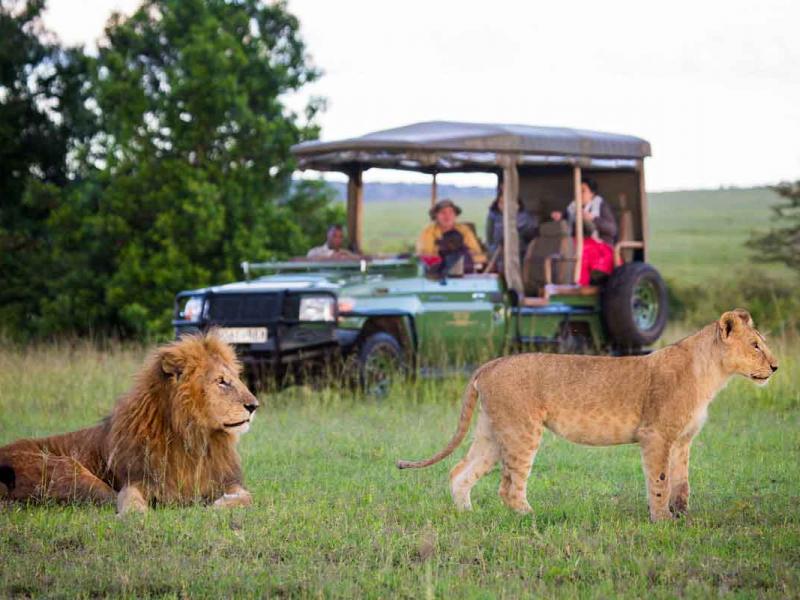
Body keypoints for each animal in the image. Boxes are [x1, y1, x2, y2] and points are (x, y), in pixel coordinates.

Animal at [0, 332, 258, 516]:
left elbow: (248, 497)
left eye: (236, 379)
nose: (254, 405)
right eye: (221, 382)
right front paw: (136, 513)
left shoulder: (225, 479)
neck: (192, 438)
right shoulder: (141, 479)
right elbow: (129, 497)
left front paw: (220, 504)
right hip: (71, 471)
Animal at [396, 310, 780, 520]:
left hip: (493, 431)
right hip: (522, 430)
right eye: (755, 345)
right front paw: (662, 521)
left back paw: (468, 516)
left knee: (460, 472)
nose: (776, 367)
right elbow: (659, 482)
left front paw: (683, 517)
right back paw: (534, 518)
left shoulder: (683, 440)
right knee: (508, 487)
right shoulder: (656, 435)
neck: (712, 375)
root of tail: (492, 362)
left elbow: (682, 483)